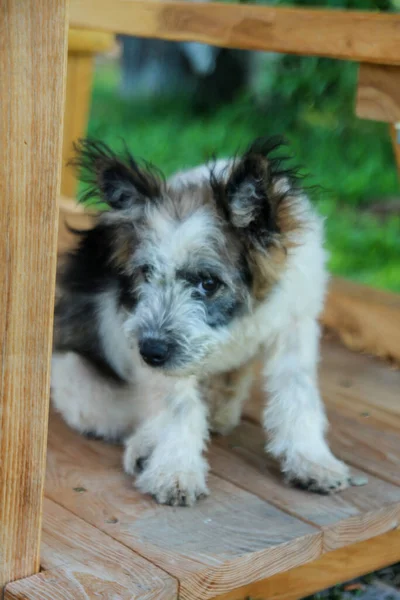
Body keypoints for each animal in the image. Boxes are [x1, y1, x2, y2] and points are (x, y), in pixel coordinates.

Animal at [50, 137, 360, 506]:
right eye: (146, 274)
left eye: (208, 283)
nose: (149, 352)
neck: (238, 320)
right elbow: (180, 406)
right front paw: (174, 470)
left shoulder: (295, 325)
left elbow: (298, 393)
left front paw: (312, 460)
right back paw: (146, 446)